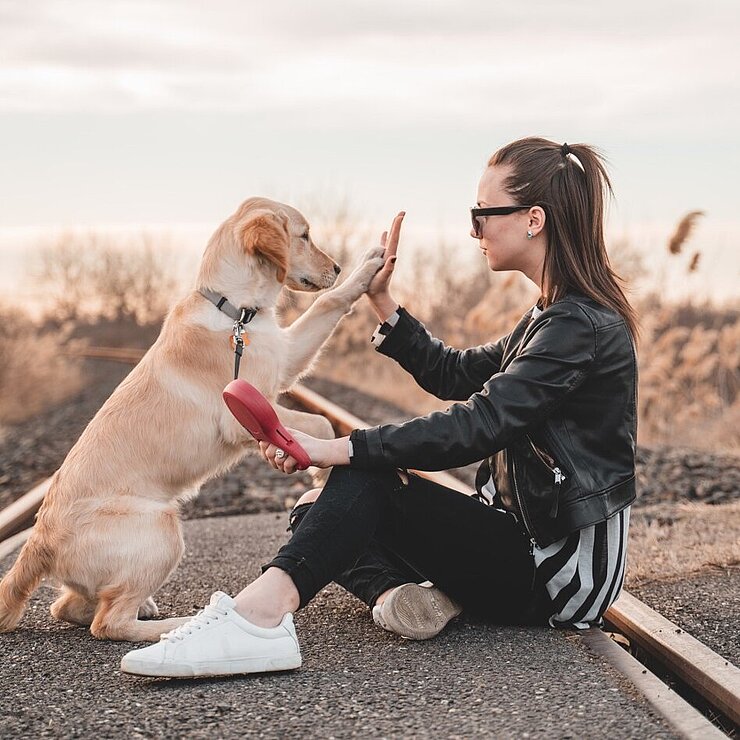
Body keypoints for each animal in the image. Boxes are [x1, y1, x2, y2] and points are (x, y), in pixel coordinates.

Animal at [0, 197, 384, 640]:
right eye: (304, 236)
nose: (337, 267)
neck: (236, 312)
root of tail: (38, 541)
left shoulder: (285, 358)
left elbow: (329, 303)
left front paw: (368, 267)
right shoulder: (242, 412)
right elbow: (320, 425)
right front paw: (320, 474)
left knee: (67, 607)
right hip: (162, 527)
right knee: (107, 622)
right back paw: (180, 623)